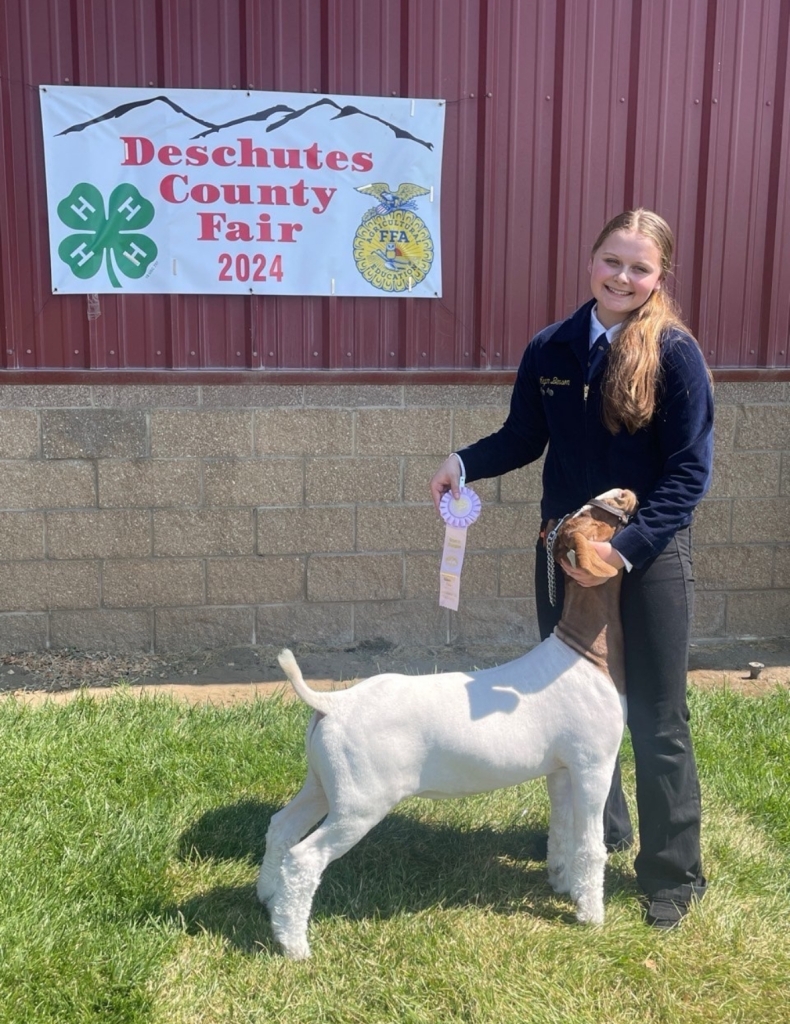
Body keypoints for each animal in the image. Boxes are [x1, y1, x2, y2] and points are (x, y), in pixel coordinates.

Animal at [256, 487, 639, 958]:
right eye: (594, 515)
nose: (626, 493)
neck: (584, 654)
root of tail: (335, 703)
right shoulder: (592, 764)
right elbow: (590, 845)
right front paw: (591, 915)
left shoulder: (561, 770)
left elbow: (562, 833)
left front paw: (562, 884)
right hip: (361, 802)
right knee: (305, 858)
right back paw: (294, 945)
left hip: (324, 783)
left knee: (282, 826)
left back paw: (268, 899)